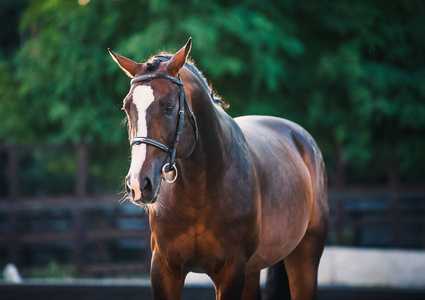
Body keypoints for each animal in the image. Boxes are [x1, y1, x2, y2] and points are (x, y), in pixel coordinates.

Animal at [108, 38, 328, 300]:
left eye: (169, 107)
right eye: (127, 107)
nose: (138, 184)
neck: (201, 188)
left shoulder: (230, 272)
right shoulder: (164, 270)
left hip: (304, 258)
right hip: (253, 270)